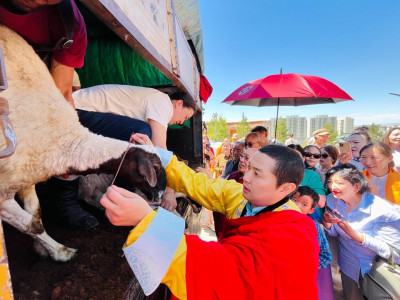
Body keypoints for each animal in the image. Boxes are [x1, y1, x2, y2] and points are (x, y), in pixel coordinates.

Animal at [0, 24, 166, 262]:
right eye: (155, 168)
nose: (159, 198)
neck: (66, 140)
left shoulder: (27, 180)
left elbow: (36, 216)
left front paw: (42, 248)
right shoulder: (3, 193)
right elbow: (31, 225)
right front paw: (61, 252)